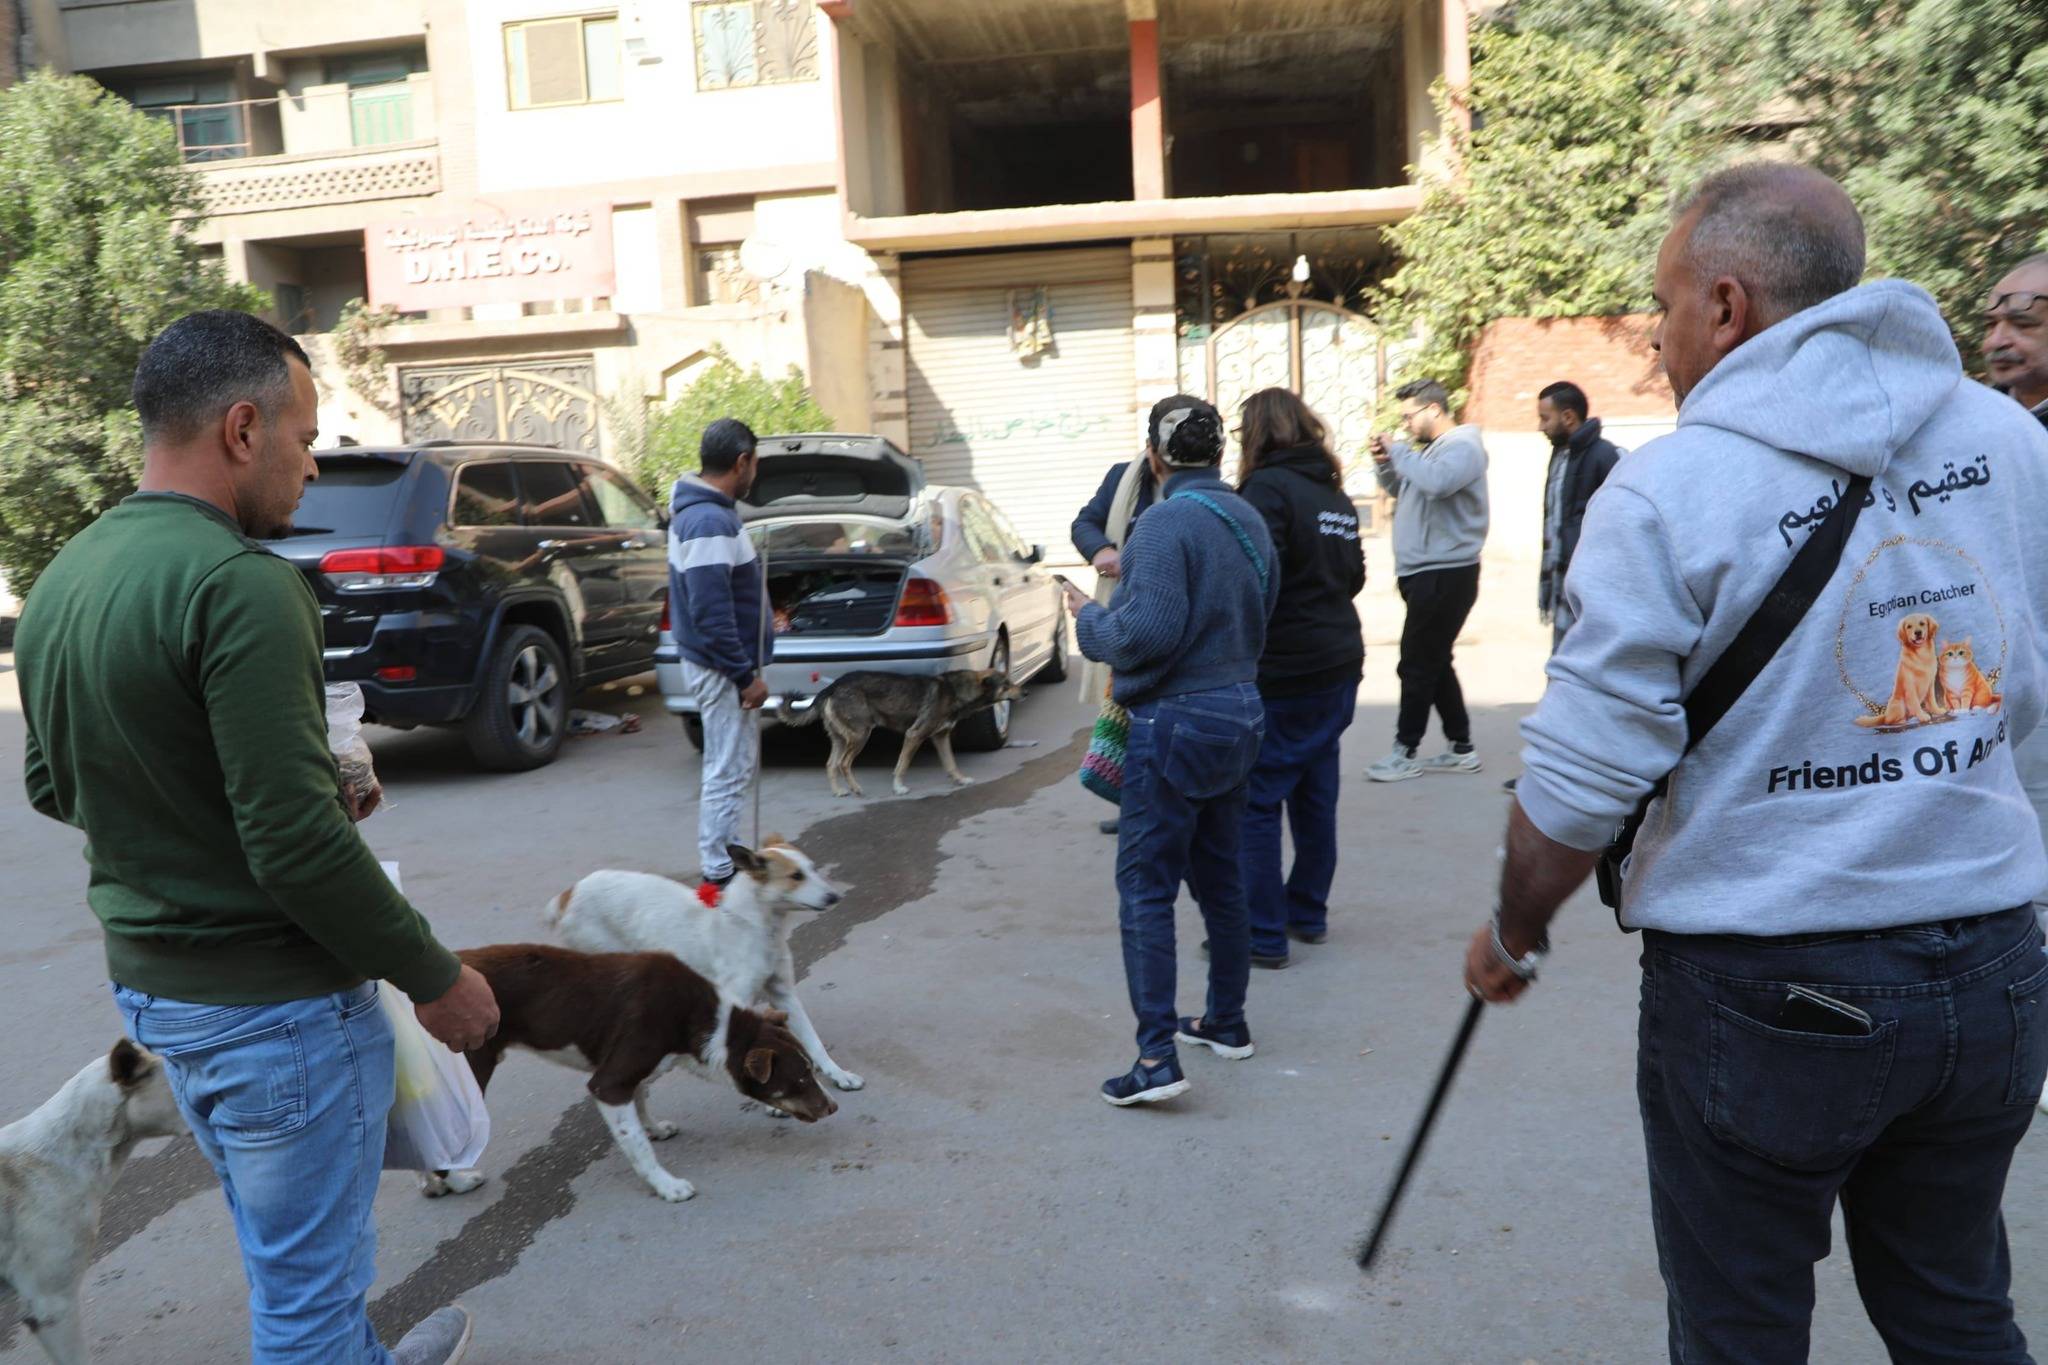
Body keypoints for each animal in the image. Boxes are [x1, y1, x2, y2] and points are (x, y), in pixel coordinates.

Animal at [417, 944, 835, 1203]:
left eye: (812, 1070)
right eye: (800, 1079)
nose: (833, 1108)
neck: (705, 1022)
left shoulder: (632, 1072)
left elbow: (642, 1099)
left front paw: (654, 1127)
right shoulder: (608, 1082)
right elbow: (637, 1145)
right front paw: (667, 1185)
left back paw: (432, 1184)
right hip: (471, 1069)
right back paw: (457, 1180)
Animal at [550, 840, 863, 1093]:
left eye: (811, 869)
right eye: (796, 876)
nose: (835, 897)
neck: (754, 926)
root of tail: (570, 892)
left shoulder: (783, 992)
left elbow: (814, 1042)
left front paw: (838, 1074)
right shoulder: (739, 998)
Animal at [778, 669, 1024, 797]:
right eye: (1007, 684)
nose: (1025, 692)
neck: (955, 690)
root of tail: (831, 687)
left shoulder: (941, 737)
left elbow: (951, 763)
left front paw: (960, 779)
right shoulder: (914, 735)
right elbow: (902, 765)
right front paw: (898, 787)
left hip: (841, 738)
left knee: (831, 764)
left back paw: (839, 791)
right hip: (860, 735)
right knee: (843, 764)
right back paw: (856, 788)